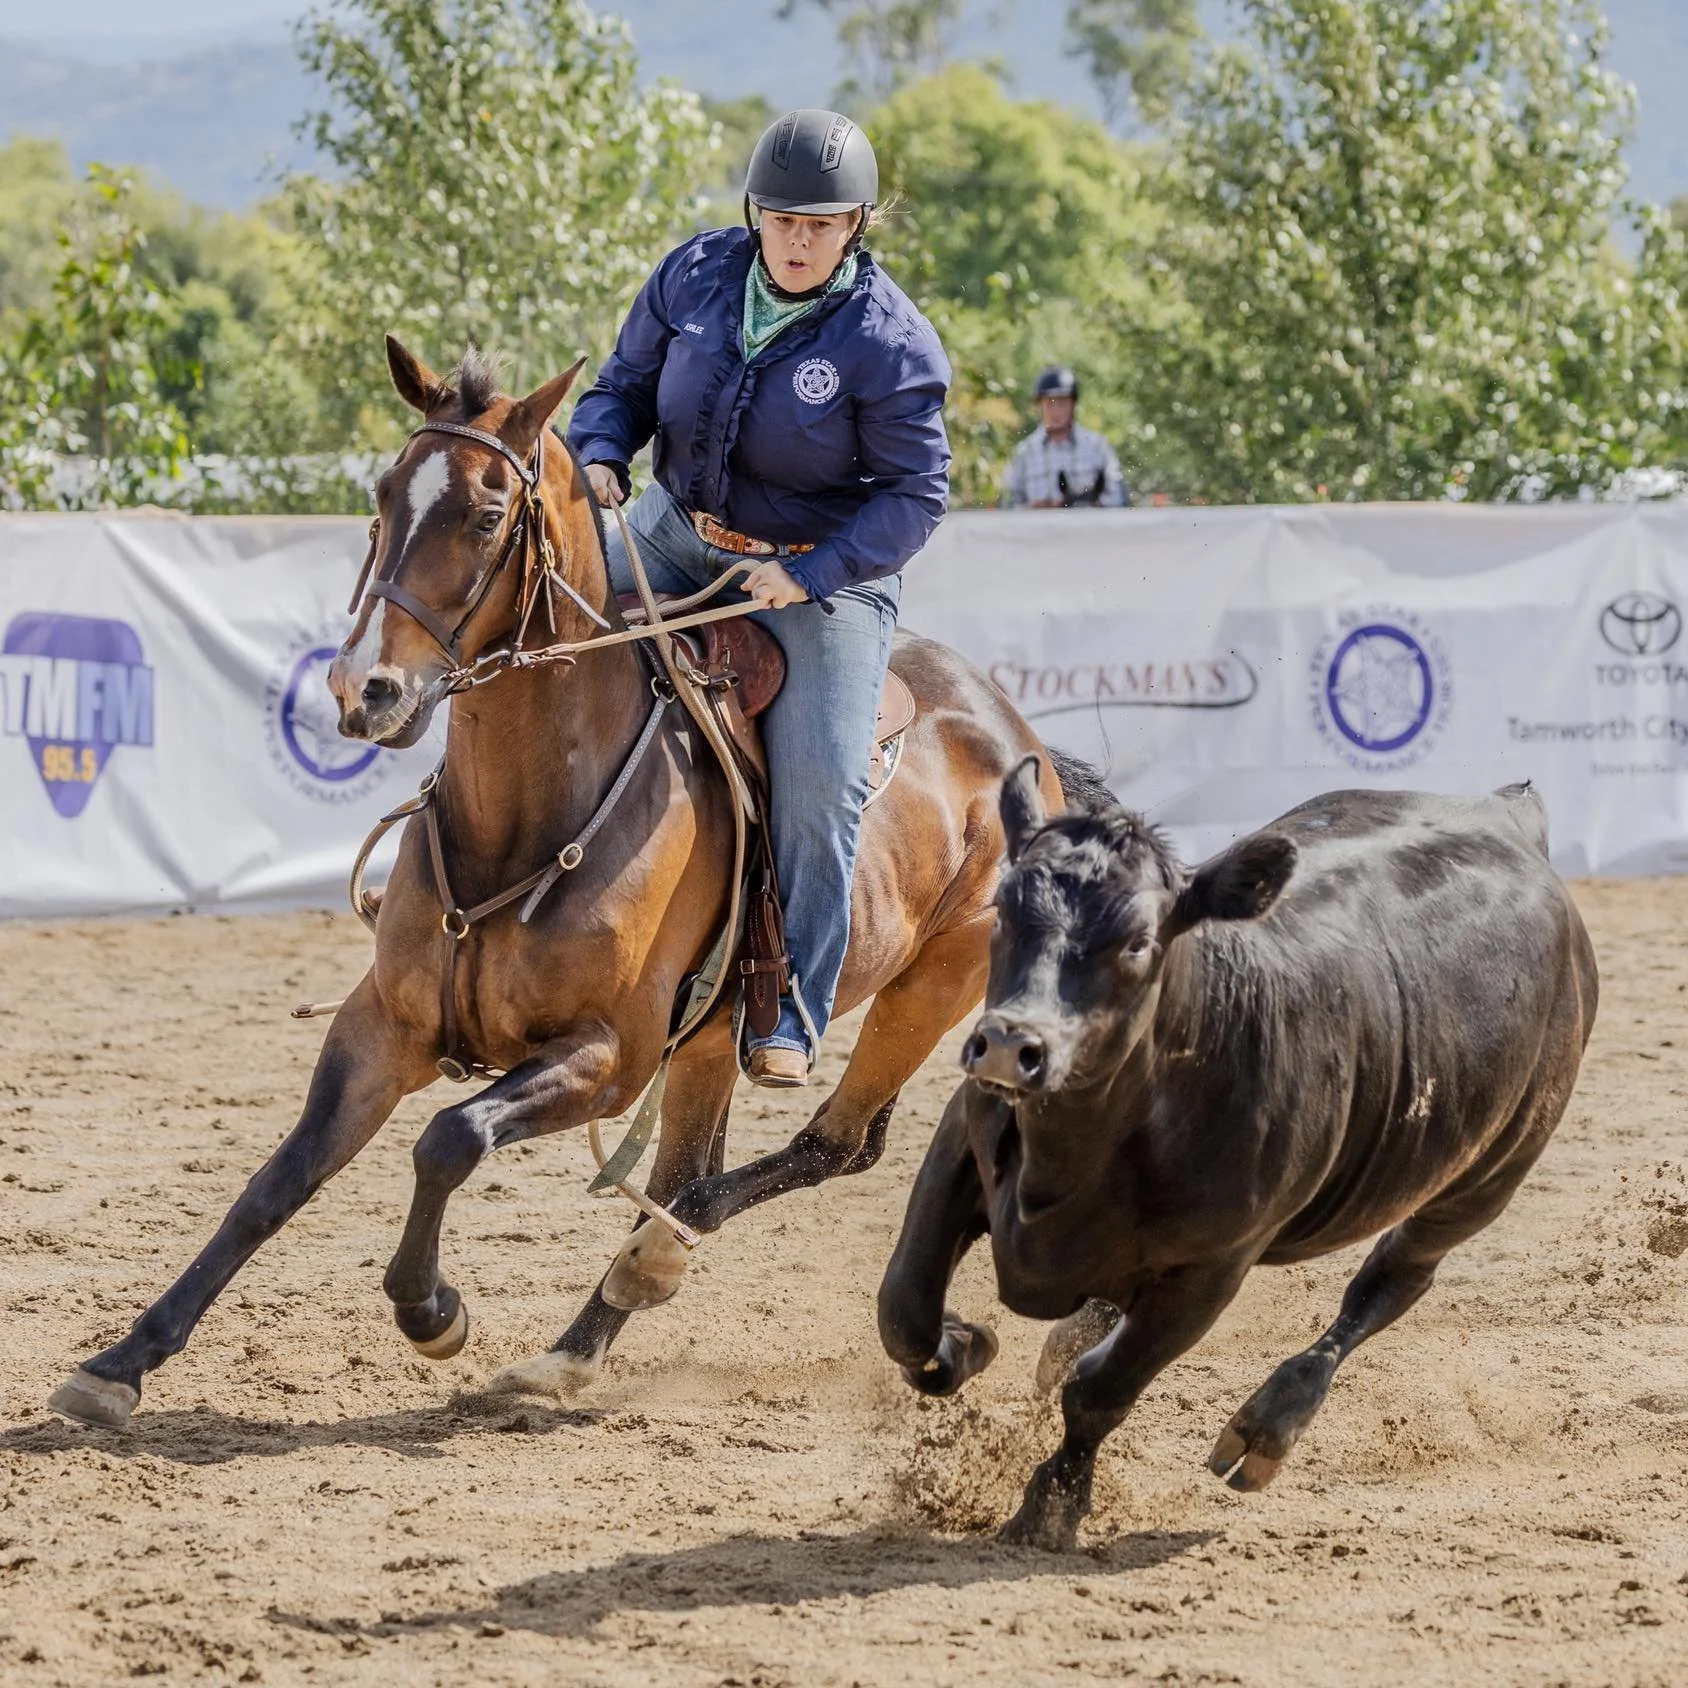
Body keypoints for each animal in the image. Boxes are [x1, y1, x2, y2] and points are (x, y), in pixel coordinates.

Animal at [47, 337, 1065, 1428]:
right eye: (382, 496)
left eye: (488, 516)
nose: (366, 691)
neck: (523, 820)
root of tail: (1018, 739)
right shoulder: (381, 1026)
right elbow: (279, 1179)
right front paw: (123, 1358)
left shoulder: (607, 1056)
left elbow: (449, 1137)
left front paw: (431, 1310)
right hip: (710, 1039)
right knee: (699, 1164)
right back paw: (573, 1349)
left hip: (926, 989)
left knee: (826, 1147)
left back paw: (672, 1260)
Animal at [876, 758, 1598, 1551]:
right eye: (1005, 910)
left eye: (1138, 941)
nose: (1010, 1043)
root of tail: (1506, 818)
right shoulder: (962, 1140)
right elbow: (905, 1310)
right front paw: (964, 1341)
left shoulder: (1213, 1267)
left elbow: (1102, 1393)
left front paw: (1051, 1507)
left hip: (1485, 1179)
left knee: (1389, 1283)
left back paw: (1270, 1423)